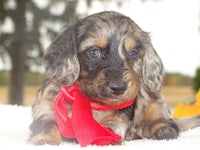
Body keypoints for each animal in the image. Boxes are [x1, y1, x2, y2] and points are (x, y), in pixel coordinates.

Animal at [28, 11, 200, 145]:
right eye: (95, 52)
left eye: (133, 53)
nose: (119, 88)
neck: (91, 103)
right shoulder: (45, 105)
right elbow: (47, 123)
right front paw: (44, 139)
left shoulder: (119, 122)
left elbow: (110, 127)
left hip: (153, 96)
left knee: (164, 118)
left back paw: (163, 128)